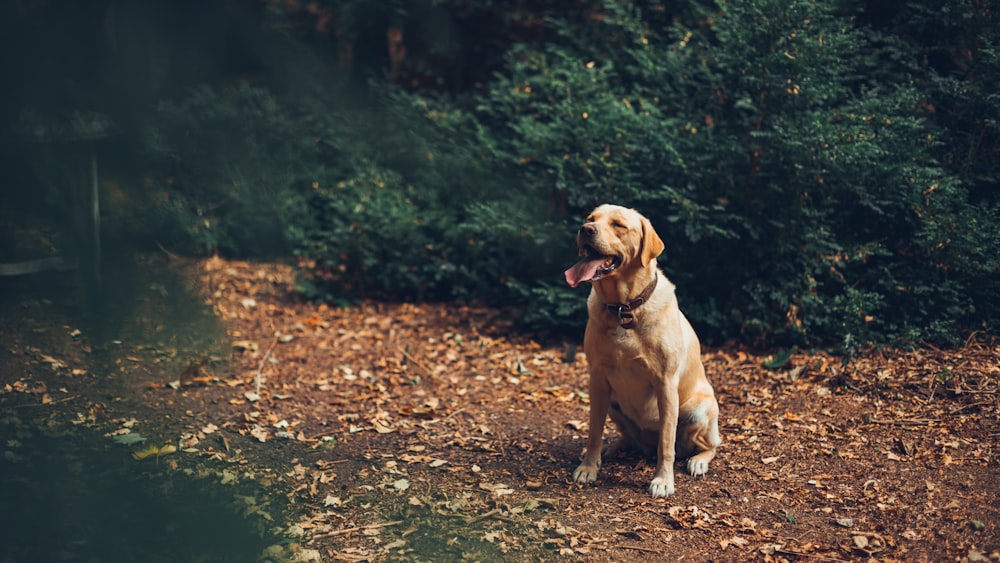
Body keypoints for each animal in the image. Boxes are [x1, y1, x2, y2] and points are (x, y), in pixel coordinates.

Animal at [564, 205, 720, 496]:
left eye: (619, 225)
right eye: (591, 219)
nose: (585, 230)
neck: (623, 308)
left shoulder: (666, 384)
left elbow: (666, 443)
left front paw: (663, 480)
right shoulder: (597, 379)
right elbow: (594, 432)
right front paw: (589, 467)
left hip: (698, 410)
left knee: (709, 445)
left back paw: (698, 461)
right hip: (614, 404)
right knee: (629, 439)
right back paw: (614, 449)